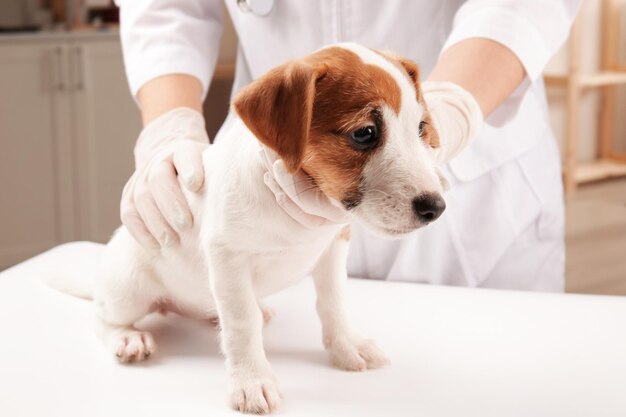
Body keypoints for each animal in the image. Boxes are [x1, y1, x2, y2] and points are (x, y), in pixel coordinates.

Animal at [46, 43, 446, 412]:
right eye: (364, 134)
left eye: (420, 129)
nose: (436, 208)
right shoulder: (228, 258)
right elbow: (242, 323)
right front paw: (251, 381)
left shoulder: (333, 246)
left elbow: (333, 303)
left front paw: (347, 345)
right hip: (127, 290)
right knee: (102, 317)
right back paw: (128, 338)